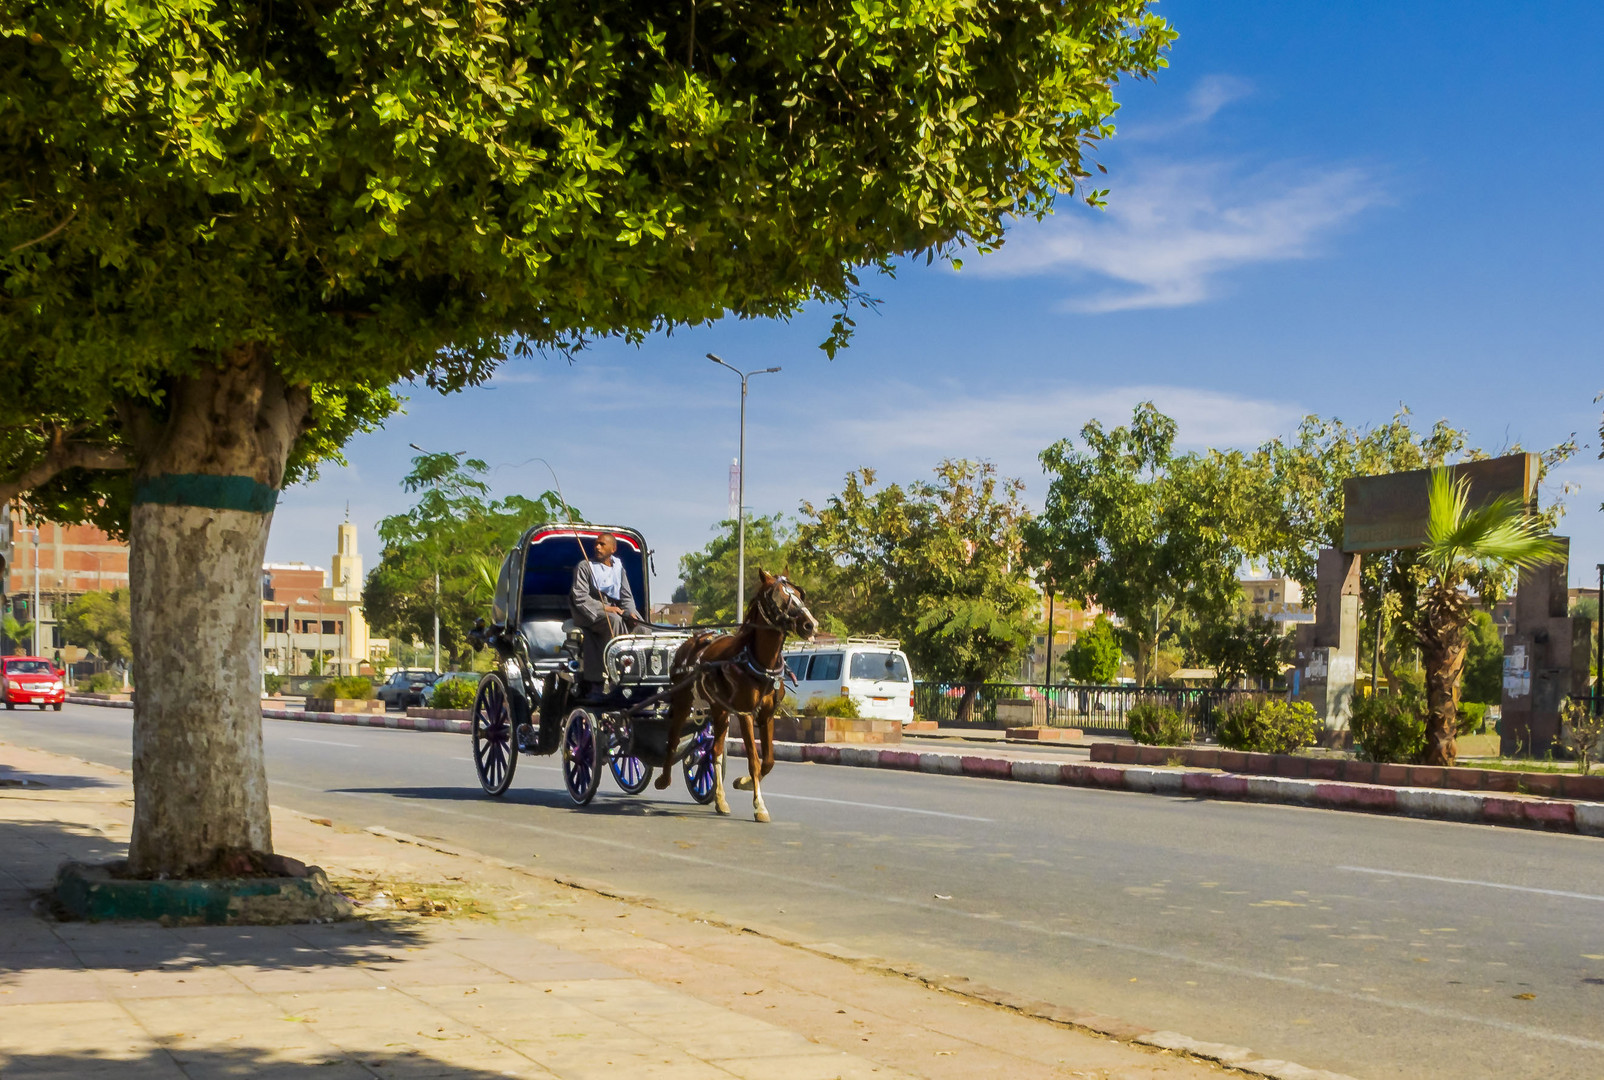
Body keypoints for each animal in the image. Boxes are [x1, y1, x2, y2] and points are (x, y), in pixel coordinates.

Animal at [657, 568, 821, 821]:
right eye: (777, 597)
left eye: (798, 593)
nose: (810, 625)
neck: (757, 662)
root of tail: (693, 639)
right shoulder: (745, 714)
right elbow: (753, 760)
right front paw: (759, 805)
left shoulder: (767, 715)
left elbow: (768, 761)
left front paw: (744, 782)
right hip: (684, 701)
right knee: (673, 738)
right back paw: (664, 779)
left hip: (719, 709)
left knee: (714, 751)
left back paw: (720, 800)